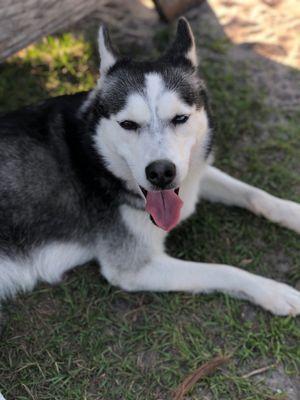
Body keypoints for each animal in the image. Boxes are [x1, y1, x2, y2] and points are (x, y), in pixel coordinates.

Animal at [0, 18, 300, 322]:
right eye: (128, 124)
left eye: (180, 118)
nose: (161, 173)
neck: (94, 156)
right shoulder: (134, 267)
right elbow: (225, 270)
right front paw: (274, 291)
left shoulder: (191, 172)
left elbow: (254, 194)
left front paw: (294, 213)